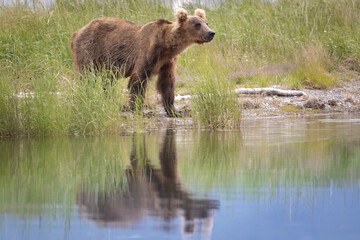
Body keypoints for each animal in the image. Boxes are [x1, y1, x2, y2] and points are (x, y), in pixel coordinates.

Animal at [71, 9, 215, 117]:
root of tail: (77, 31)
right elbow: (138, 80)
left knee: (107, 81)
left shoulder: (168, 61)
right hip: (90, 49)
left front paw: (174, 111)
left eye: (206, 23)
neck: (167, 45)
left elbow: (167, 82)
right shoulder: (148, 52)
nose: (211, 33)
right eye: (197, 24)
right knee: (87, 76)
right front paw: (140, 109)